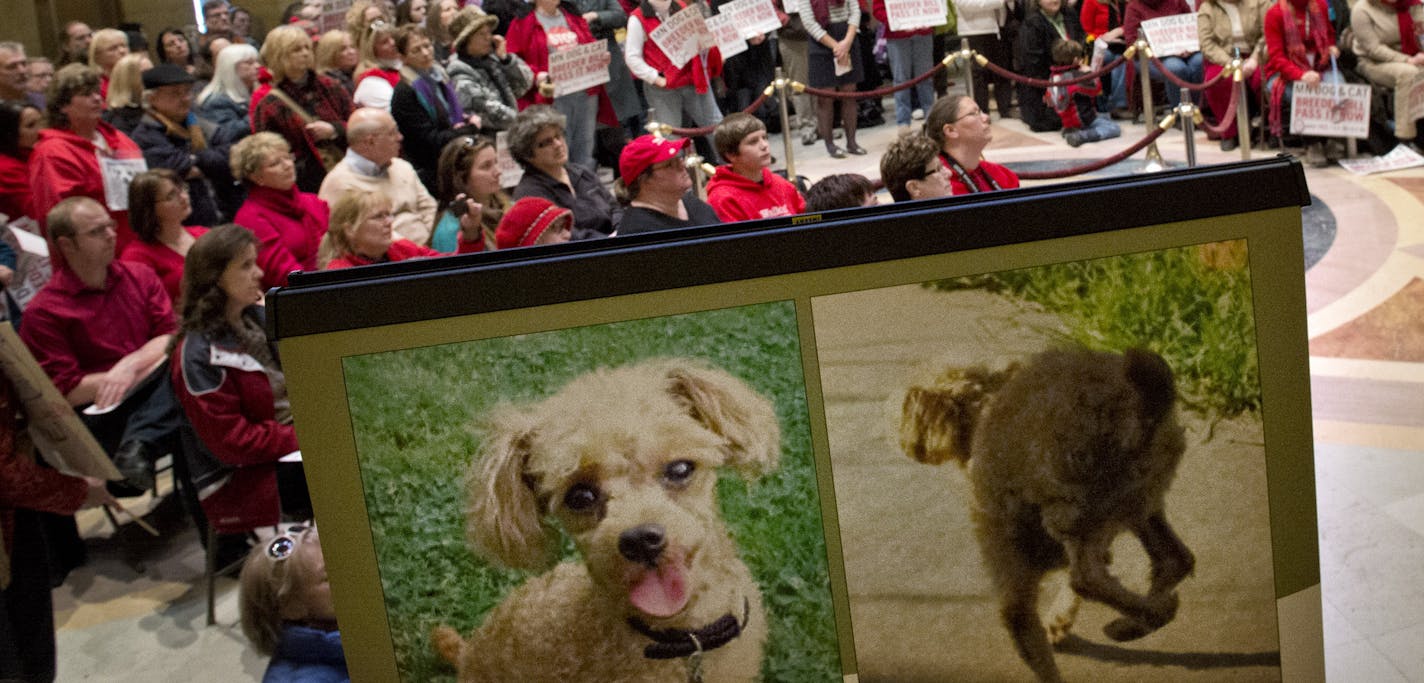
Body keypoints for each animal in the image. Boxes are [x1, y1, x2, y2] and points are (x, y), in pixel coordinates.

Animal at [899, 350, 1190, 680]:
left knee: (1087, 578)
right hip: (1140, 498)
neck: (985, 409)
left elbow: (1032, 639)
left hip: (1074, 503)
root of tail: (1136, 404)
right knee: (1174, 560)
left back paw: (1145, 616)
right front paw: (1059, 621)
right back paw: (1137, 622)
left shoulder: (1011, 572)